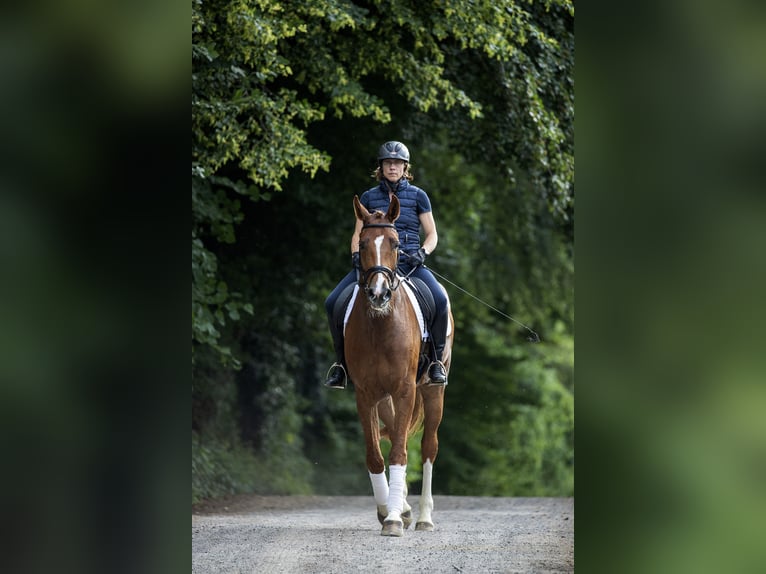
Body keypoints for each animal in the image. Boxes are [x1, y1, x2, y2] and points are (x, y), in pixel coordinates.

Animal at [344, 196, 452, 536]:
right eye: (363, 244)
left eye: (394, 243)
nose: (378, 294)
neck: (381, 324)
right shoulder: (366, 394)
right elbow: (376, 456)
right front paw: (388, 511)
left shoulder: (405, 390)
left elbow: (400, 452)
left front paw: (392, 518)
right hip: (385, 398)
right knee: (393, 432)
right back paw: (403, 506)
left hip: (432, 391)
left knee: (429, 447)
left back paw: (424, 517)